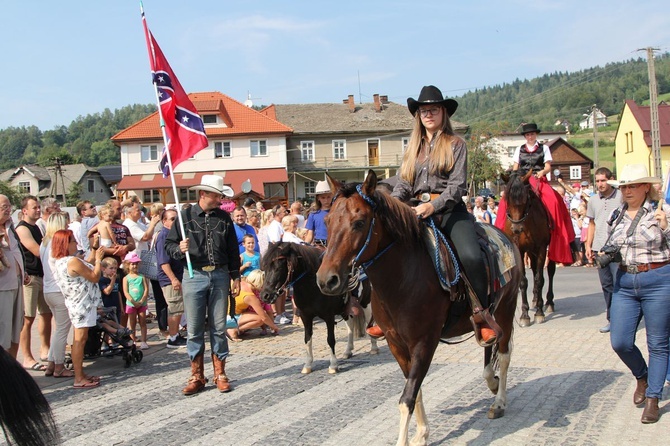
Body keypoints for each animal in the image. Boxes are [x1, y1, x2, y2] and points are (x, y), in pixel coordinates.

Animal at [262, 242, 378, 374]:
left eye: (278, 268)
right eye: (265, 268)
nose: (265, 295)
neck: (312, 286)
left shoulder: (329, 316)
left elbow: (330, 339)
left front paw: (333, 365)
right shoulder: (305, 316)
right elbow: (307, 339)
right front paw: (307, 365)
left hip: (366, 302)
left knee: (369, 323)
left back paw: (374, 347)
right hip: (346, 309)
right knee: (350, 326)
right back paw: (348, 351)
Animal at [316, 171, 524, 446]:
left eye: (359, 222)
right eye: (327, 220)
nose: (326, 280)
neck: (402, 279)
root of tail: (505, 237)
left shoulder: (424, 342)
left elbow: (407, 399)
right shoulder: (396, 344)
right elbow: (415, 390)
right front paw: (422, 433)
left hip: (506, 310)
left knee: (504, 353)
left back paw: (499, 402)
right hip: (489, 317)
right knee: (489, 345)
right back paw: (491, 381)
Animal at [502, 169, 560, 326]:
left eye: (525, 200)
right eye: (507, 200)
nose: (516, 229)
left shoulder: (541, 248)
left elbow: (540, 279)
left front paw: (539, 313)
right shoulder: (520, 250)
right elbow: (523, 281)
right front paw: (524, 314)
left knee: (550, 272)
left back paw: (549, 302)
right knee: (534, 270)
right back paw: (535, 300)